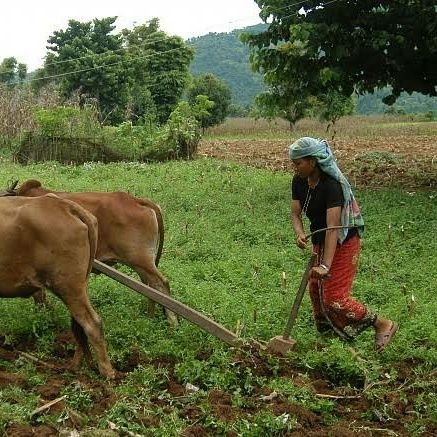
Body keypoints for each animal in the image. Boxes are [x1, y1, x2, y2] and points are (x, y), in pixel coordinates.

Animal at [0, 194, 114, 378]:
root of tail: (65, 205)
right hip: (78, 287)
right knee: (79, 326)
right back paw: (77, 366)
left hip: (68, 286)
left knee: (92, 324)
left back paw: (107, 371)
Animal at [16, 179, 177, 326]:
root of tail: (135, 200)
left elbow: (38, 296)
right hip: (142, 264)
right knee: (150, 287)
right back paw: (150, 317)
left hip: (140, 259)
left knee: (161, 284)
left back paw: (172, 321)